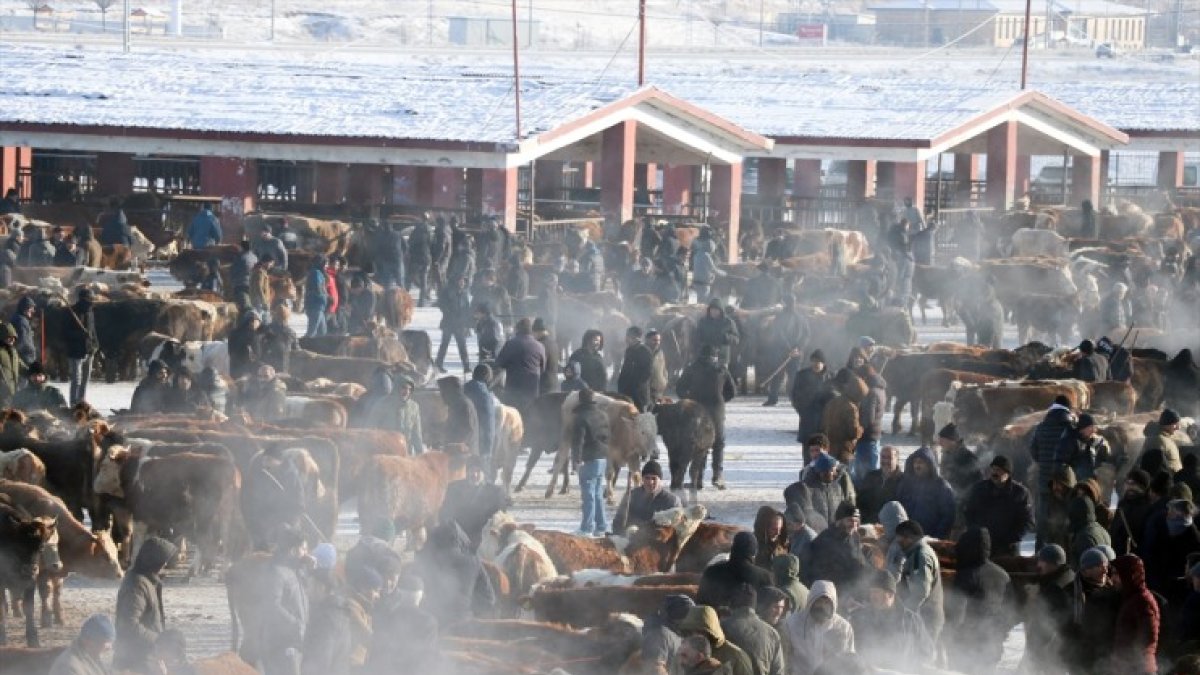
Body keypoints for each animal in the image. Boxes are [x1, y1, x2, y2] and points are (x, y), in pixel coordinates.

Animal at [0, 480, 122, 634]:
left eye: (116, 553)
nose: (120, 574)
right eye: (105, 555)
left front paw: (59, 617)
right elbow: (46, 592)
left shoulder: (59, 571)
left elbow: (57, 592)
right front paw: (46, 619)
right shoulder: (42, 571)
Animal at [93, 444, 241, 576]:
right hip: (225, 513)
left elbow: (139, 541)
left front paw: (133, 565)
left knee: (206, 540)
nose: (94, 485)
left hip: (204, 514)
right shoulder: (152, 521)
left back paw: (193, 571)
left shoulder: (140, 516)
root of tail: (229, 468)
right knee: (226, 538)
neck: (135, 474)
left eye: (104, 466)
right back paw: (221, 573)